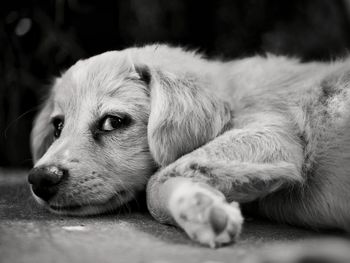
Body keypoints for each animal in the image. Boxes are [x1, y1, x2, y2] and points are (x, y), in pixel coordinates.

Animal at [28, 44, 350, 249]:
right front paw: (198, 203)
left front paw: (199, 205)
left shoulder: (275, 137)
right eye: (58, 127)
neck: (231, 100)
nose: (40, 179)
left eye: (112, 122)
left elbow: (156, 183)